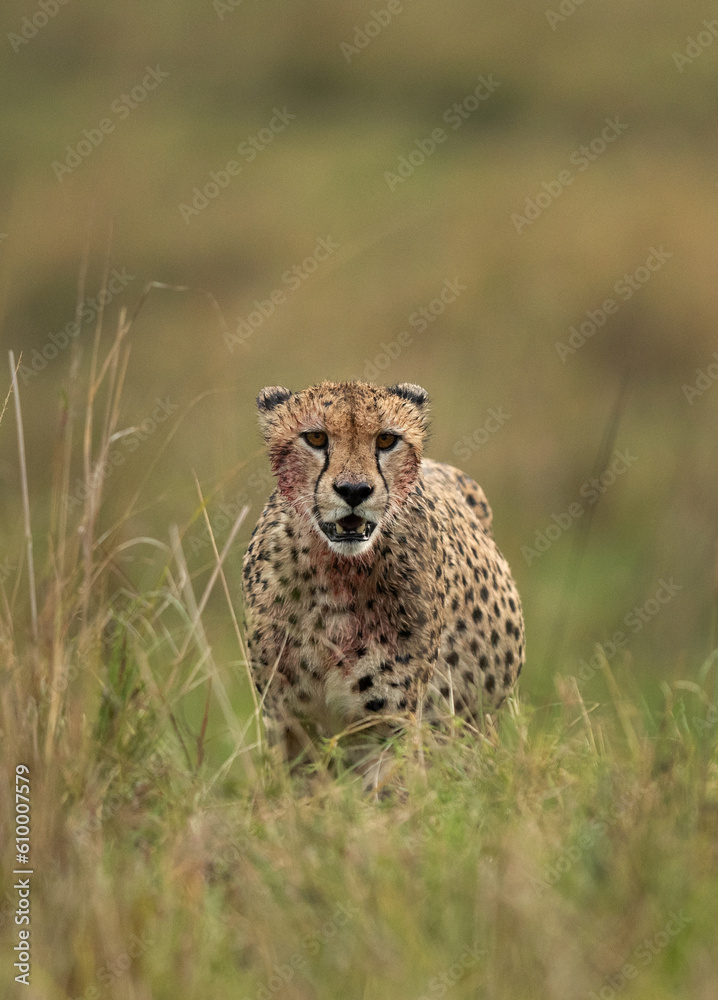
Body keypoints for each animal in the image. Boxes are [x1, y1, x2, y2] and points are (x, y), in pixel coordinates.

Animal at [241, 380, 525, 777]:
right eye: (315, 437)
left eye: (386, 440)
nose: (354, 490)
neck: (336, 574)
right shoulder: (287, 722)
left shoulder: (390, 727)